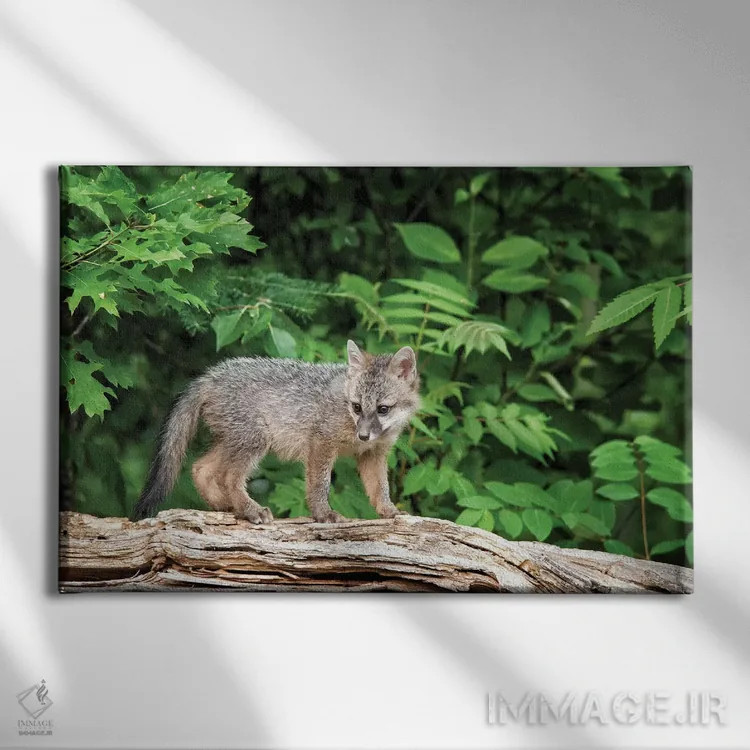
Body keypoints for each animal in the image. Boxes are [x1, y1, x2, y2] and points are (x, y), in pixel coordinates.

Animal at [132, 340, 420, 523]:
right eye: (357, 407)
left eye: (382, 409)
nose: (363, 435)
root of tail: (211, 374)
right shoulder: (321, 443)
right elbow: (320, 485)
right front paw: (323, 514)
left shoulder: (373, 454)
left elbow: (380, 489)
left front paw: (390, 512)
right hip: (256, 441)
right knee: (228, 477)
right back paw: (250, 510)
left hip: (235, 441)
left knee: (200, 468)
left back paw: (227, 506)